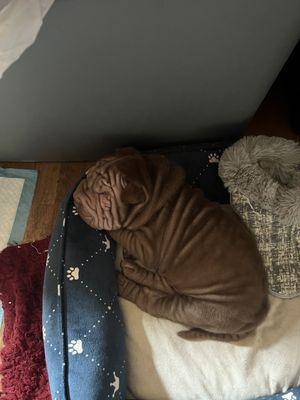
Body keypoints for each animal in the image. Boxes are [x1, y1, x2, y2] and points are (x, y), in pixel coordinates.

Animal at [73, 147, 270, 340]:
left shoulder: (147, 248)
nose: (76, 198)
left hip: (202, 310)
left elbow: (123, 232)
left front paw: (113, 230)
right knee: (164, 282)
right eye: (87, 174)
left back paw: (122, 281)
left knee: (154, 301)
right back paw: (132, 269)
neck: (153, 185)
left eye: (104, 197)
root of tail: (259, 316)